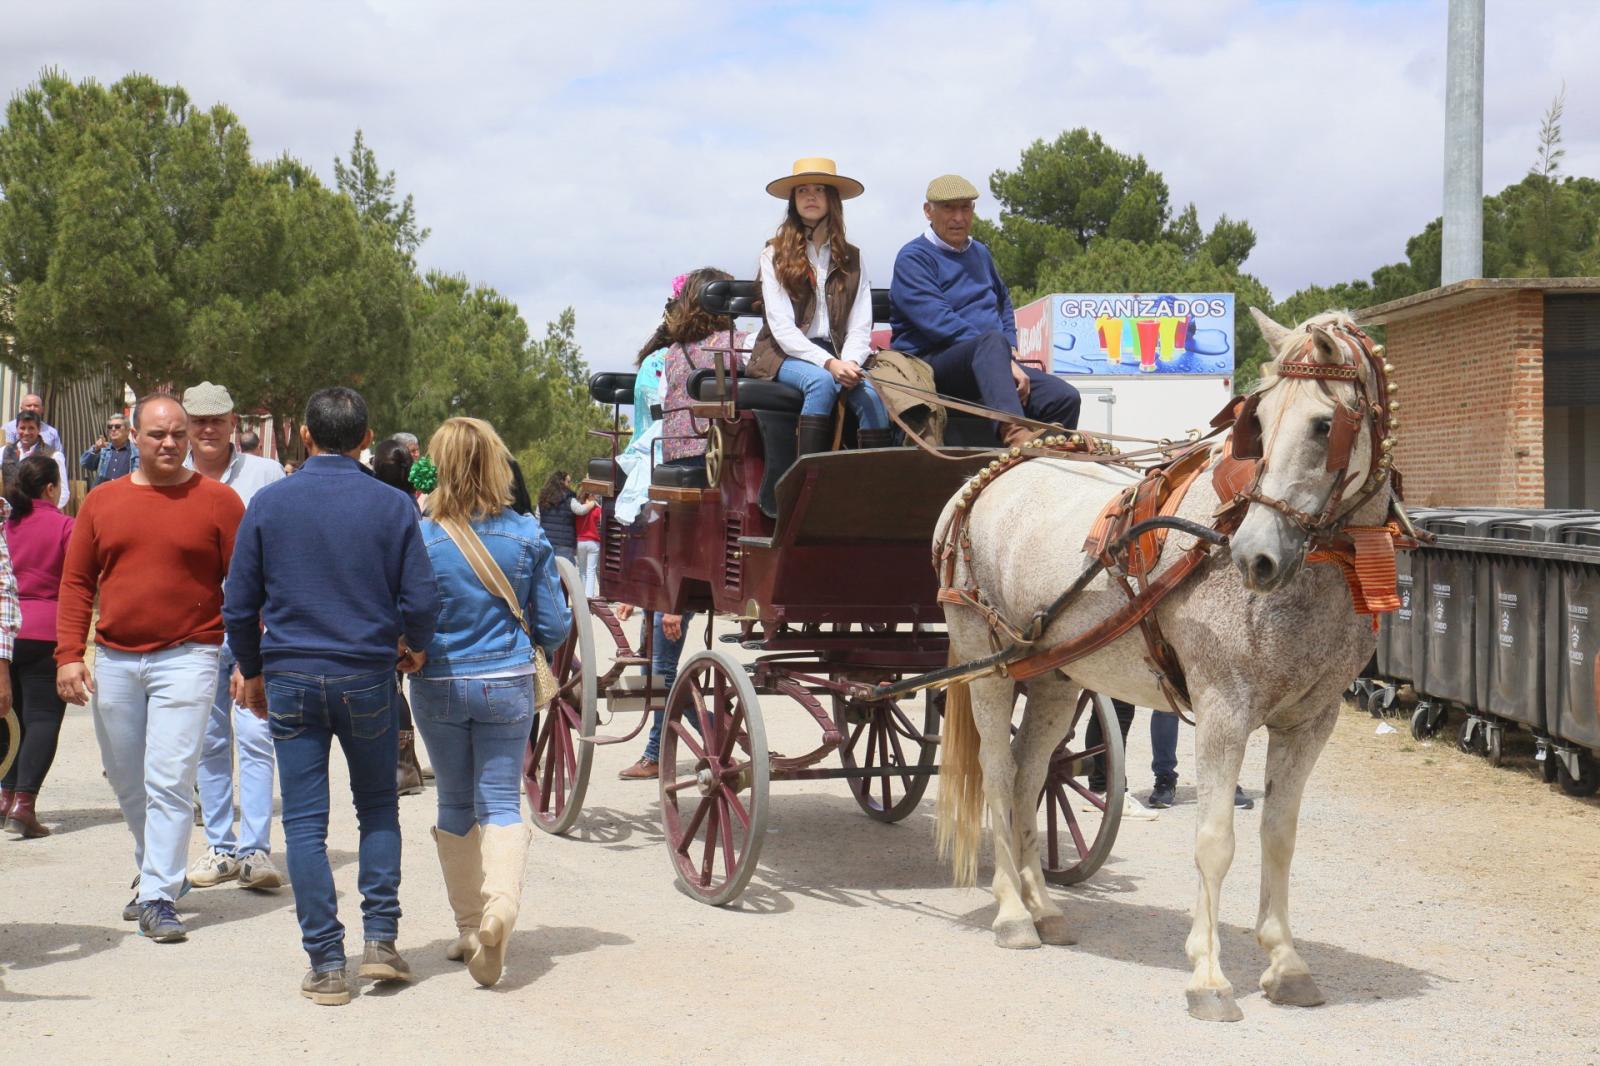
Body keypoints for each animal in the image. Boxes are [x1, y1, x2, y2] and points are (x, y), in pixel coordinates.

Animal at [934, 308, 1395, 1024]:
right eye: (1260, 422)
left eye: (1324, 425)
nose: (1256, 557)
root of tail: (989, 477)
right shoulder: (1223, 711)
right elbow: (1216, 841)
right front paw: (1209, 977)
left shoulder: (1310, 721)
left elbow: (1278, 836)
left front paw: (1286, 964)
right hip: (986, 666)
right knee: (998, 773)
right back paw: (1012, 913)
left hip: (1055, 678)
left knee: (1031, 774)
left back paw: (1044, 907)